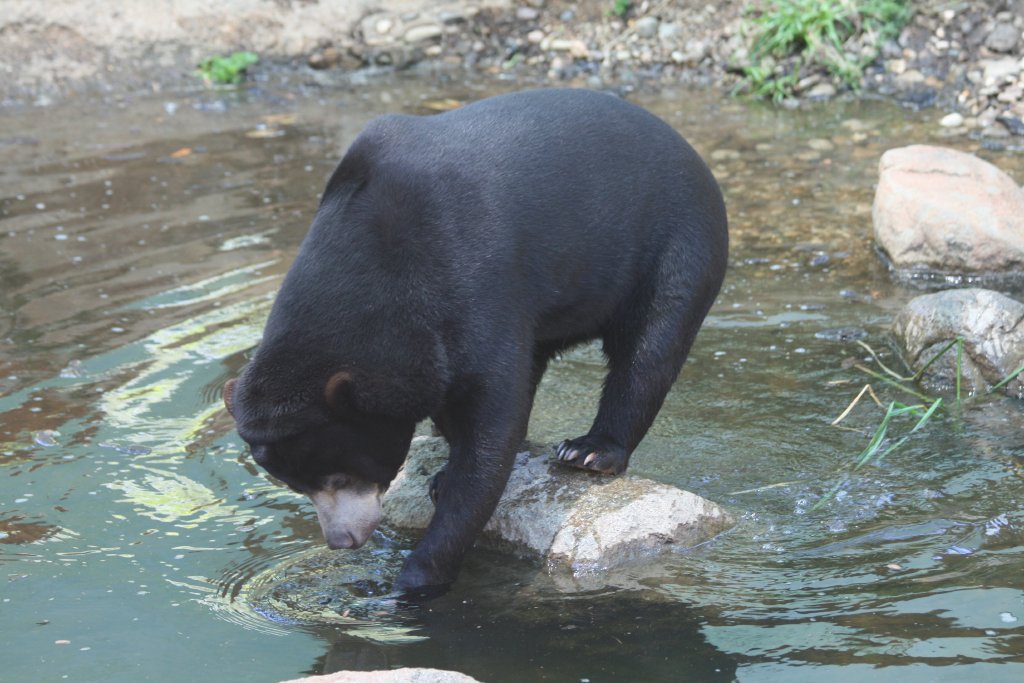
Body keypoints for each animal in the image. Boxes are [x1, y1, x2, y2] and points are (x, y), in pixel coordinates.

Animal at [223, 88, 728, 597]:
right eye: (298, 486)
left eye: (341, 474)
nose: (342, 541)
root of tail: (690, 151)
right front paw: (442, 477)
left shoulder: (475, 281)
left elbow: (491, 430)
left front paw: (414, 581)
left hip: (679, 245)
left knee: (650, 350)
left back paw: (591, 451)